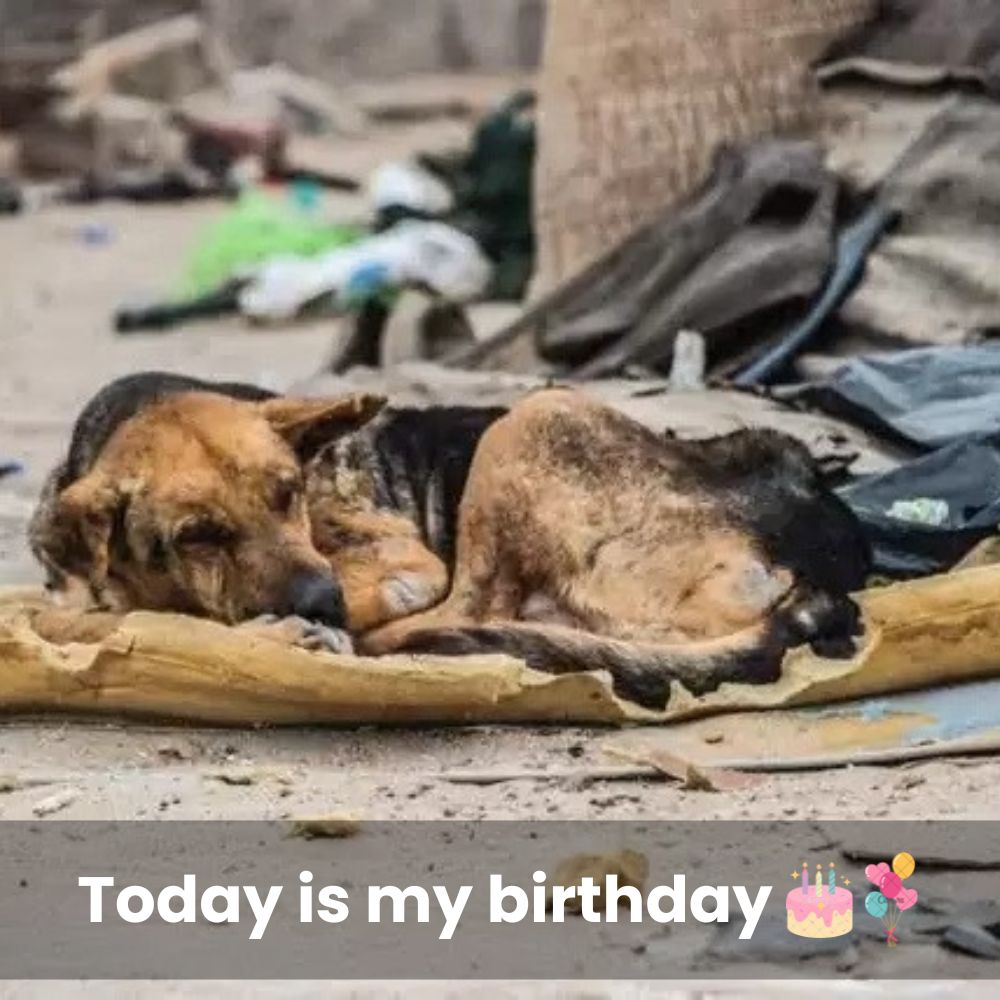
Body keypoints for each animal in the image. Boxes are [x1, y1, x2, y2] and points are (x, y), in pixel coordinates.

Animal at [31, 372, 868, 708]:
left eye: (289, 492)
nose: (323, 602)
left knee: (473, 614)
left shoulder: (404, 563)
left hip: (530, 418)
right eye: (198, 535)